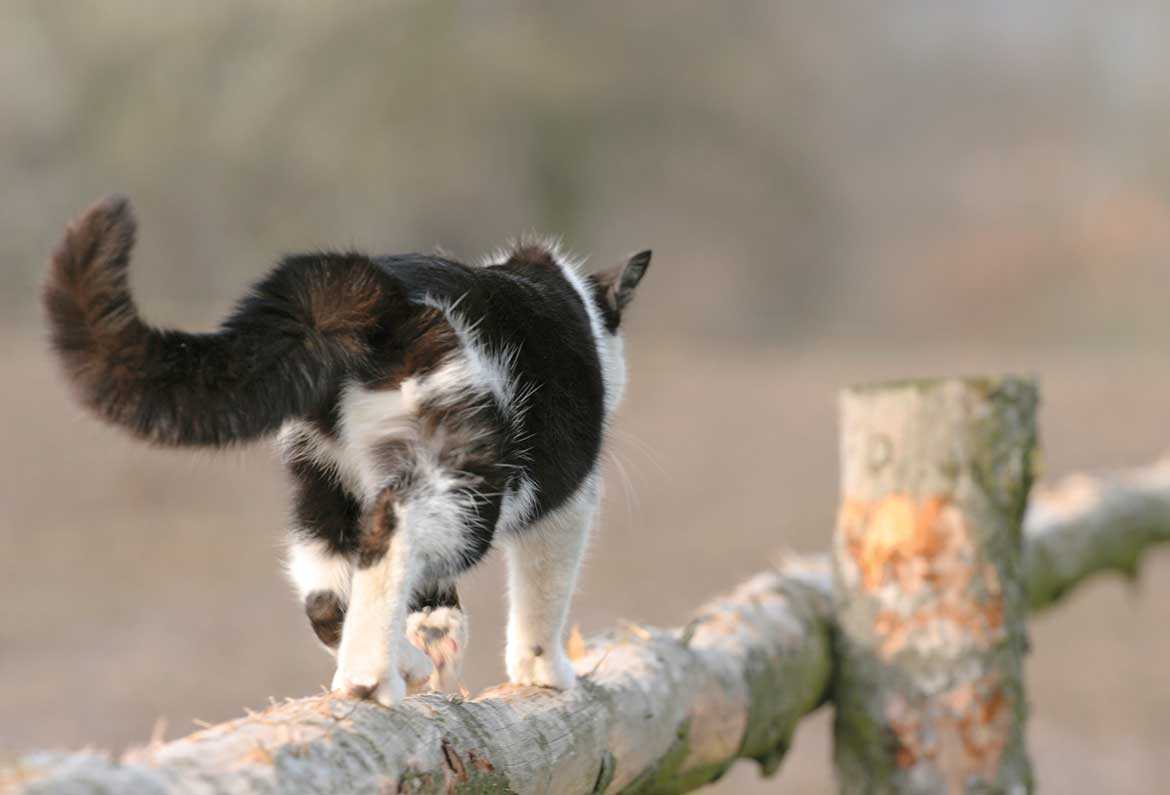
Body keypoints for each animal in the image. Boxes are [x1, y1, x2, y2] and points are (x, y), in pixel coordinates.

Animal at [43, 195, 650, 707]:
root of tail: (368, 290)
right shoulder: (567, 503)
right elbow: (544, 592)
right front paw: (544, 674)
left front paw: (437, 635)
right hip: (467, 477)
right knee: (391, 529)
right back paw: (372, 675)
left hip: (321, 478)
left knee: (325, 591)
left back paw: (401, 662)